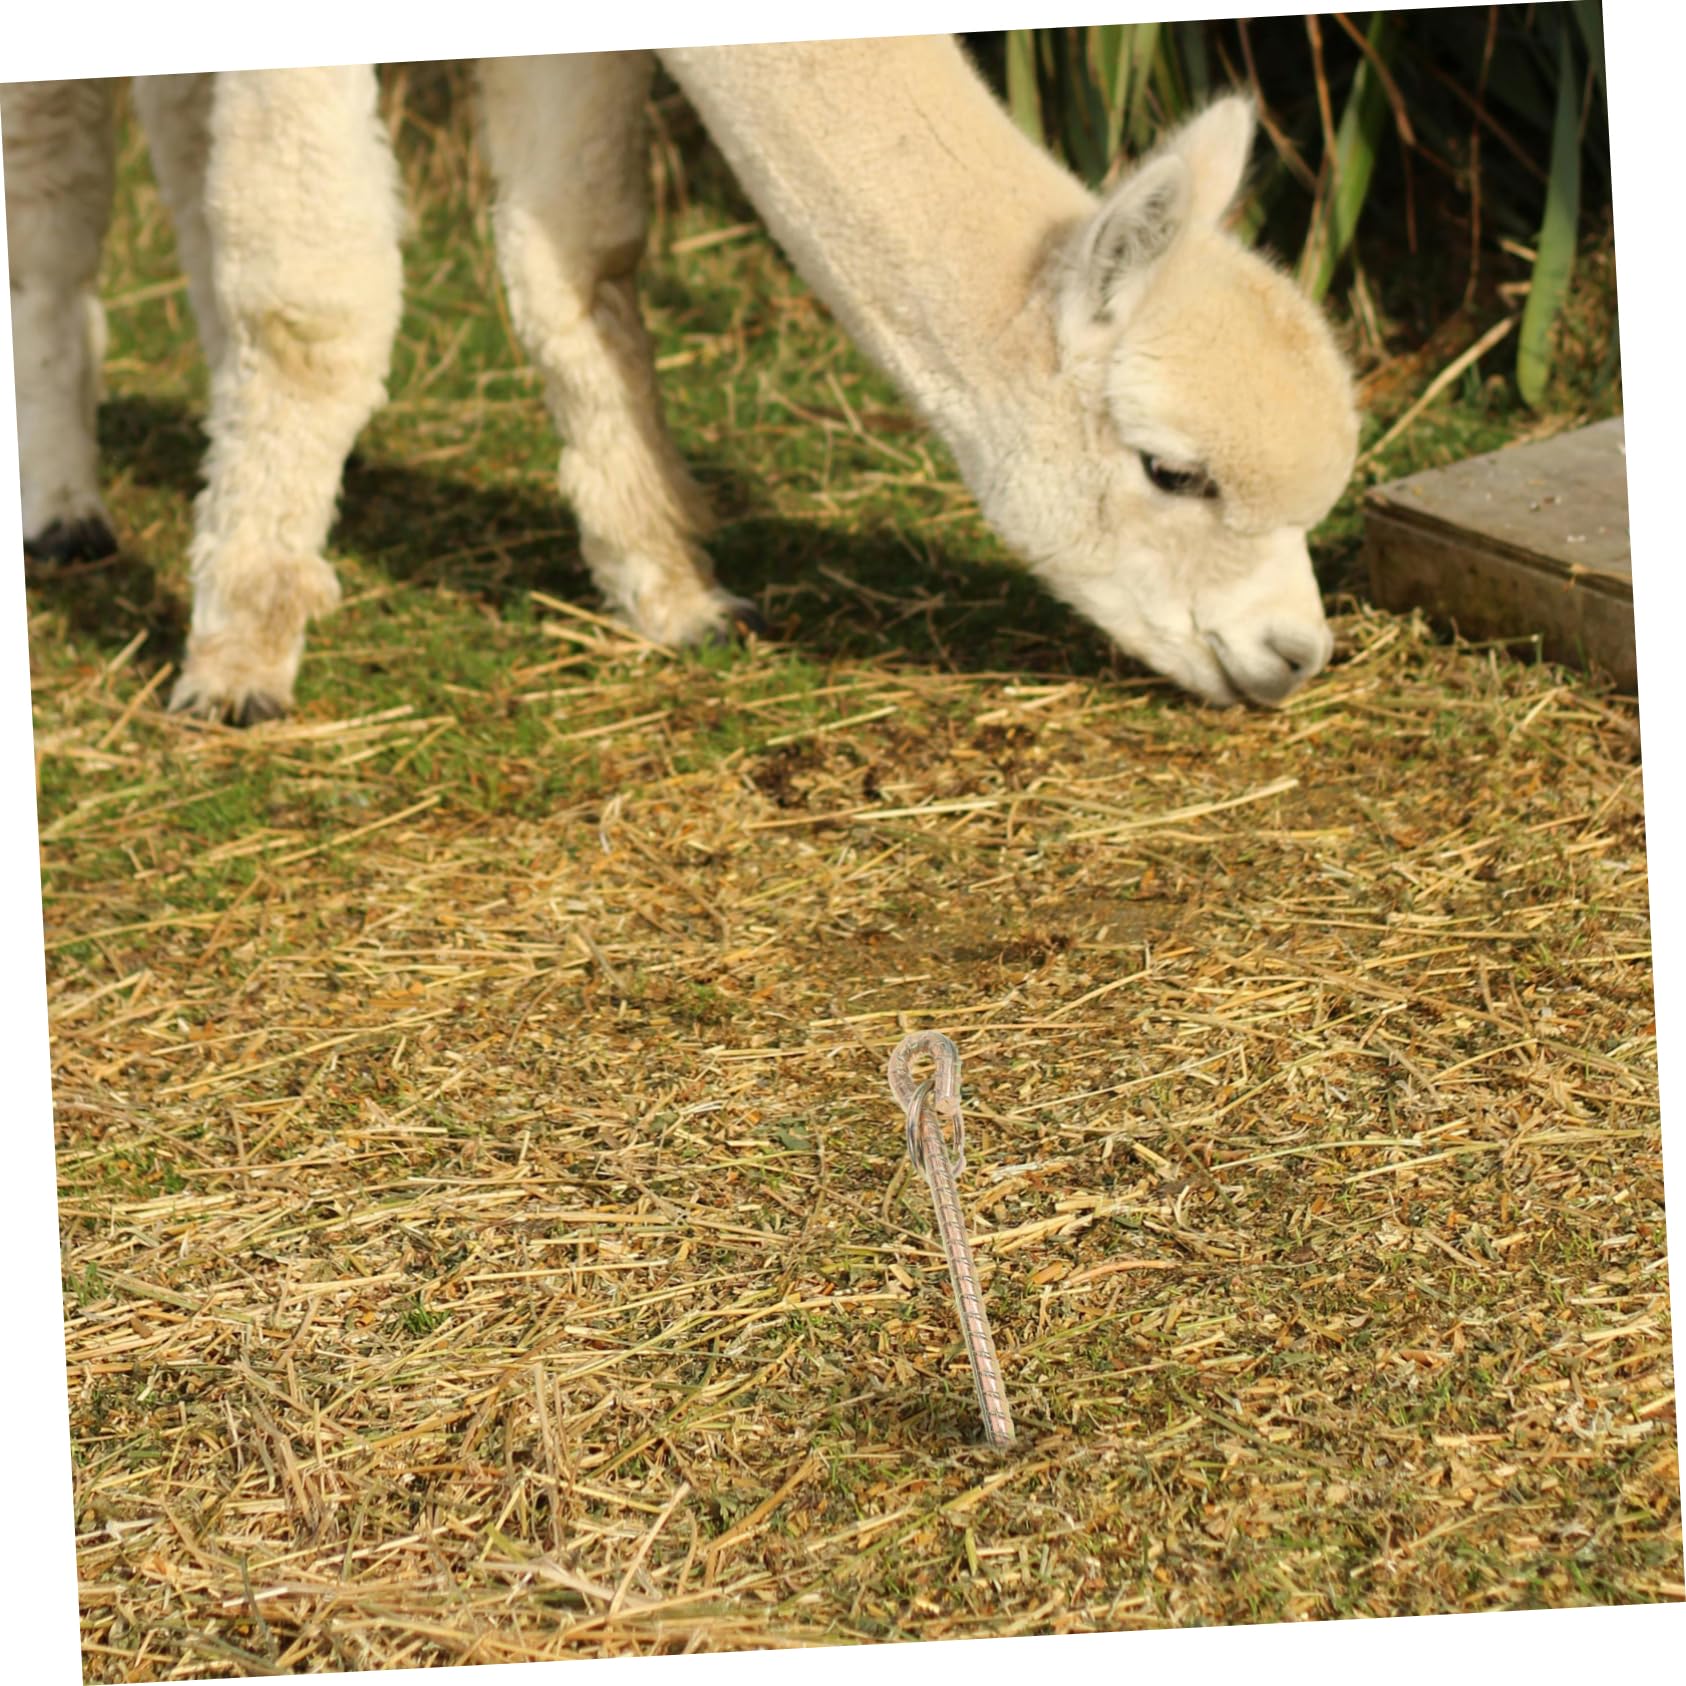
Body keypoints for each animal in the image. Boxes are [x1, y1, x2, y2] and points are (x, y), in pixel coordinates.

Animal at [5, 40, 1358, 721]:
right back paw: (72, 515)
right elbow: (314, 303)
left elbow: (578, 245)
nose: (1294, 654)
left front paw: (669, 586)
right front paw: (236, 661)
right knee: (55, 170)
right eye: (1172, 472)